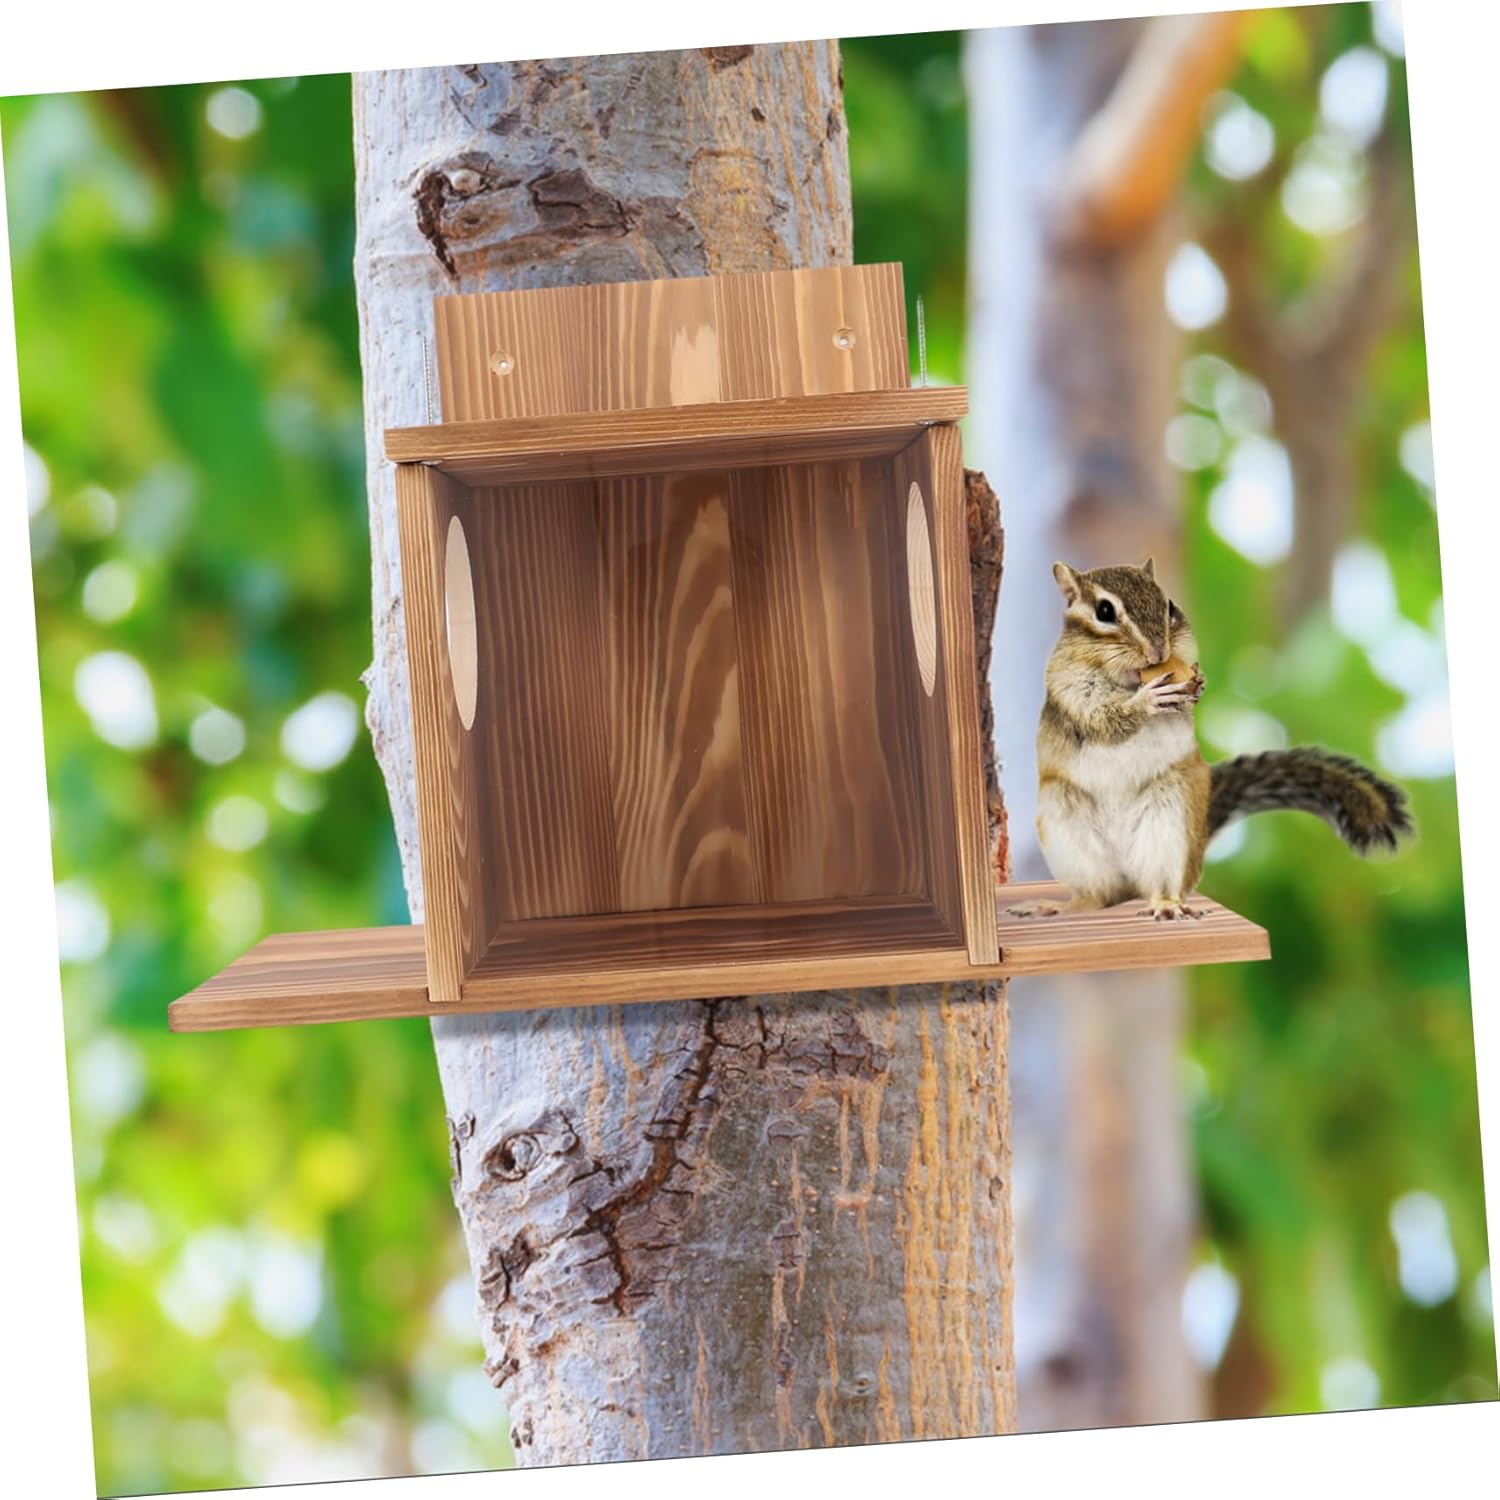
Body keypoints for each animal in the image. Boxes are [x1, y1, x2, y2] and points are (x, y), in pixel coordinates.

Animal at [1007, 557, 1413, 922]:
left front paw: (1196, 686)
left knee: (1159, 884)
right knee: (1098, 896)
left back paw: (1166, 904)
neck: (1127, 680)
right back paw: (1059, 906)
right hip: (1067, 826)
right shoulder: (1069, 687)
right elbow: (1103, 717)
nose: (1159, 652)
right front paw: (1148, 700)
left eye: (1169, 605)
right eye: (1104, 611)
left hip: (1171, 823)